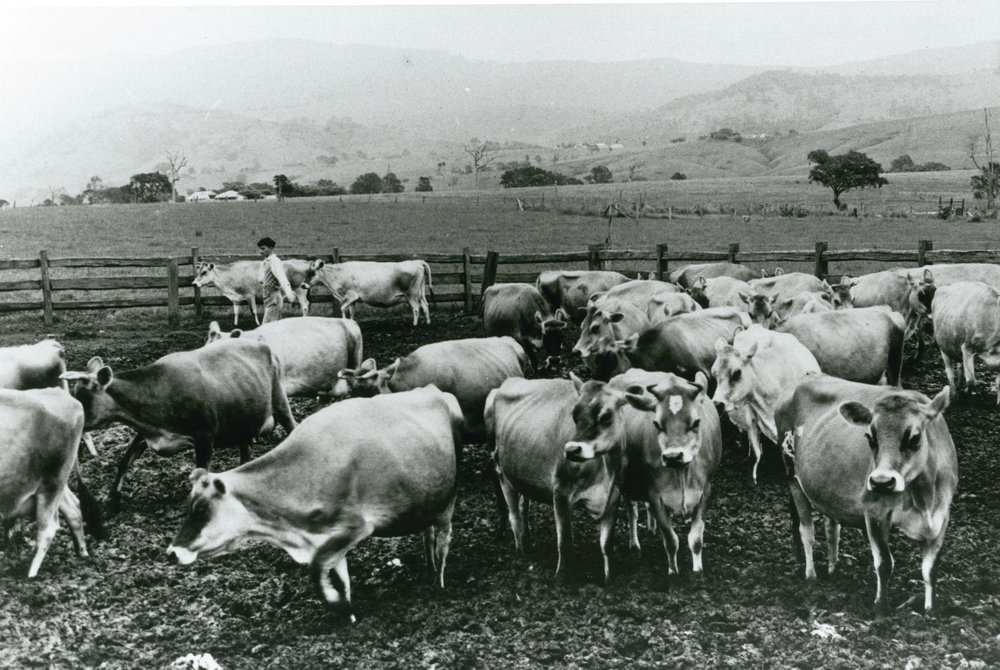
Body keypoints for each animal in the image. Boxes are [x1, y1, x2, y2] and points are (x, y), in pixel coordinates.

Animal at [0, 388, 105, 577]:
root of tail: (58, 392)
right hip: (55, 483)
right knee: (73, 508)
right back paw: (83, 553)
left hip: (51, 482)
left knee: (48, 528)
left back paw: (31, 576)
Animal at [60, 340, 296, 511]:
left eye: (83, 398)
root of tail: (261, 344)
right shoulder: (146, 433)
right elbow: (124, 461)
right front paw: (112, 499)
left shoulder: (204, 436)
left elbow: (201, 471)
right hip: (242, 418)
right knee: (245, 448)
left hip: (279, 399)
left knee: (291, 427)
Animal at [167, 386, 461, 620]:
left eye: (201, 509)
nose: (171, 553)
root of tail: (434, 390)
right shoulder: (327, 539)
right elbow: (341, 579)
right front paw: (347, 613)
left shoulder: (354, 528)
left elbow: (318, 568)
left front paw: (335, 603)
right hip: (427, 501)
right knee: (428, 534)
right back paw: (428, 568)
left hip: (448, 500)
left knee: (443, 542)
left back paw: (438, 584)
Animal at [488, 375, 641, 582]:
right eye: (574, 416)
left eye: (606, 416)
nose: (571, 450)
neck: (605, 470)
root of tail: (509, 381)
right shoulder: (561, 491)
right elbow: (565, 542)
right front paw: (561, 578)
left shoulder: (613, 494)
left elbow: (607, 543)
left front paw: (609, 578)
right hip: (502, 472)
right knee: (514, 515)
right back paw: (521, 551)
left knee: (523, 504)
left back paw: (527, 538)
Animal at [775, 376, 957, 613]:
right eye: (870, 437)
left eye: (914, 437)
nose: (881, 482)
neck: (924, 497)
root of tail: (806, 378)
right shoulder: (874, 512)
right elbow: (884, 564)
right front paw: (881, 608)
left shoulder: (942, 517)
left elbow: (930, 569)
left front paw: (930, 611)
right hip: (793, 477)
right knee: (807, 531)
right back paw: (811, 576)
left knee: (832, 527)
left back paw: (833, 568)